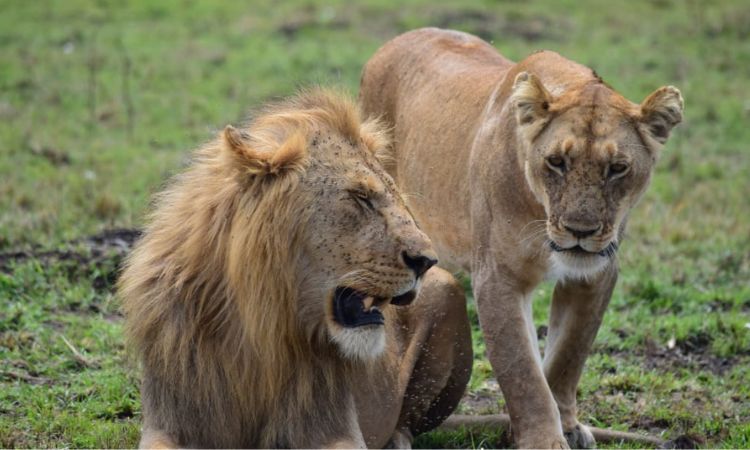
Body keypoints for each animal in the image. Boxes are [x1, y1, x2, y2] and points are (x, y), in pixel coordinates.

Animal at [118, 88, 473, 449]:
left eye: (397, 198)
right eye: (360, 196)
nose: (427, 260)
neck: (257, 328)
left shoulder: (335, 427)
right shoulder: (169, 421)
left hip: (446, 291)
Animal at [360, 28, 683, 449]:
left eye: (617, 168)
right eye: (556, 162)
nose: (581, 231)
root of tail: (394, 41)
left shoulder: (595, 274)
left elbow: (566, 356)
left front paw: (566, 425)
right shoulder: (499, 278)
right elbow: (523, 371)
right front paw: (542, 439)